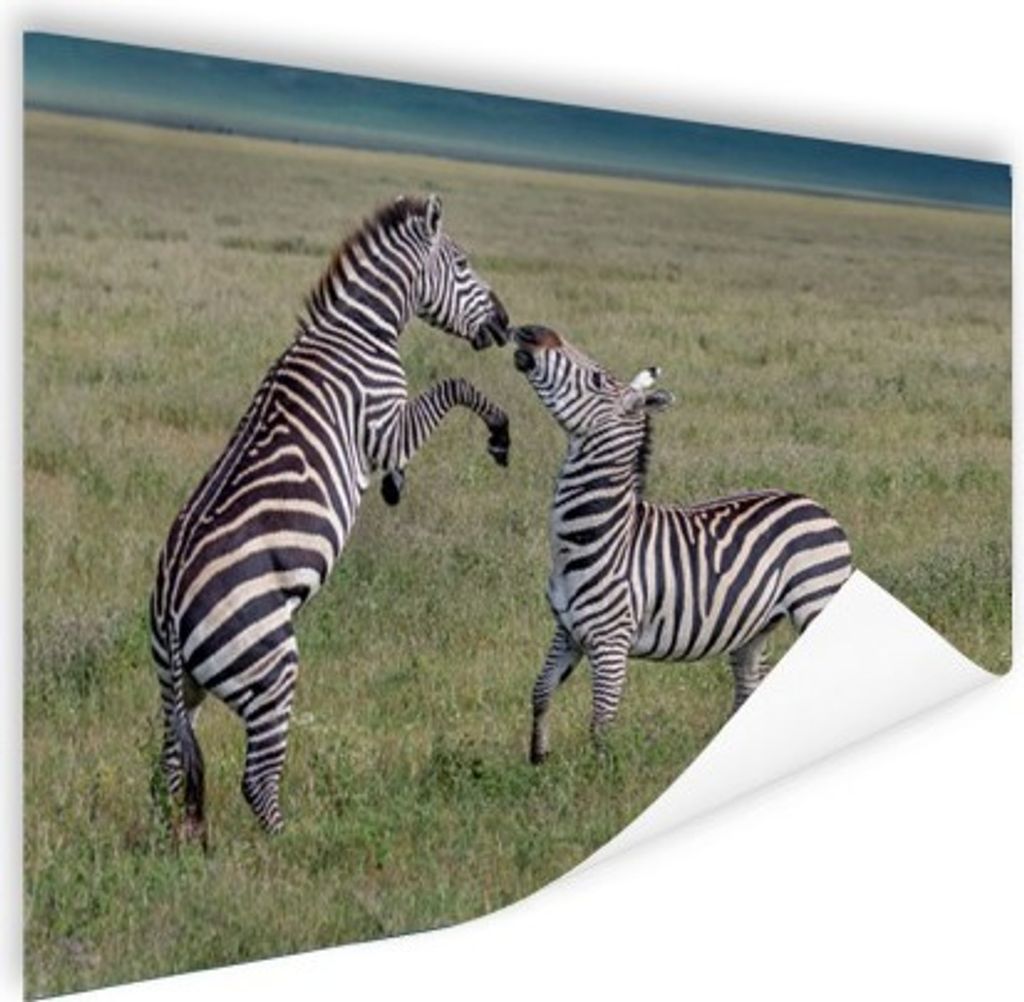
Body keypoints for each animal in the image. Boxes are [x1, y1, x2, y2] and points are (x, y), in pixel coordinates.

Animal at [150, 195, 511, 839]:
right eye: (464, 264)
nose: (505, 321)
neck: (359, 331)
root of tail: (169, 607)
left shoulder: (389, 432)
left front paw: (396, 484)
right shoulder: (386, 421)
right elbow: (454, 386)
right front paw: (498, 434)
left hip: (178, 686)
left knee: (172, 765)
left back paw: (179, 842)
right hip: (269, 666)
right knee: (255, 779)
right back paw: (294, 846)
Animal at [511, 324, 853, 763]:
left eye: (597, 379)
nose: (532, 331)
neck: (594, 536)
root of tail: (815, 504)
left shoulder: (611, 640)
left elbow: (601, 724)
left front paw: (599, 773)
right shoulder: (567, 630)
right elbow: (541, 691)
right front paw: (537, 760)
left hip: (816, 601)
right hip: (755, 626)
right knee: (749, 689)